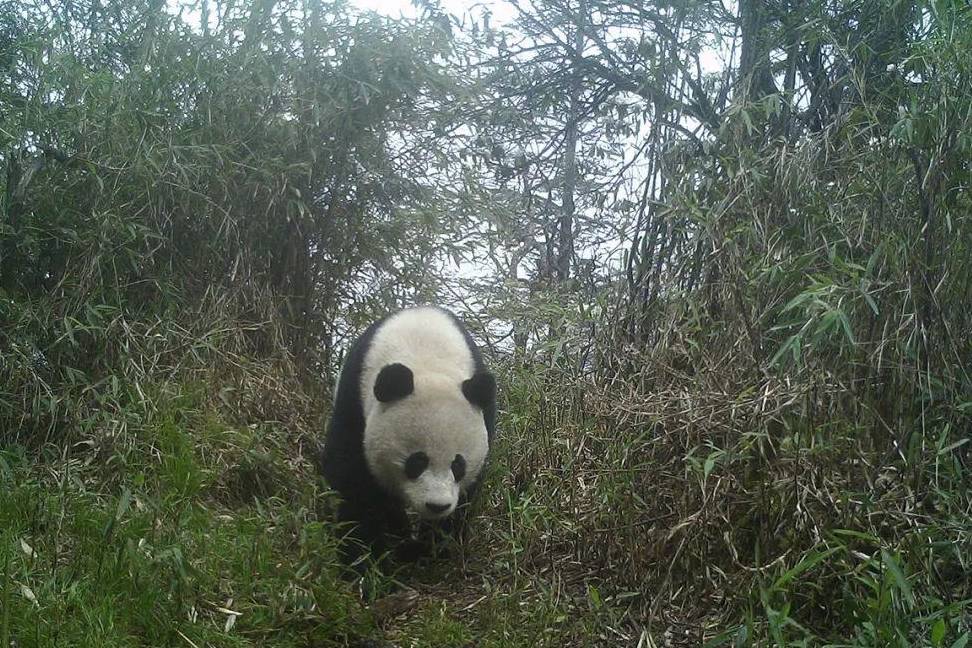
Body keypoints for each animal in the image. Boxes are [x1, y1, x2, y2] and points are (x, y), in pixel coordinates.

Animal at [320, 306, 498, 568]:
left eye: (458, 465)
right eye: (416, 461)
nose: (437, 506)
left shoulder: (485, 414)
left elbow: (467, 495)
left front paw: (432, 550)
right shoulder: (353, 399)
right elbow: (352, 479)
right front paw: (366, 560)